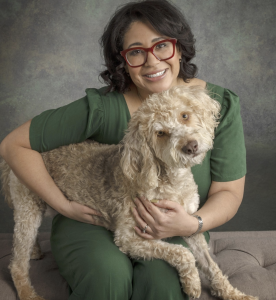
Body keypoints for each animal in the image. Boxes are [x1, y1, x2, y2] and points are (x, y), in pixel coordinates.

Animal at [1, 85, 258, 300]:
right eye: (160, 133)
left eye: (185, 115)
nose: (191, 146)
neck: (170, 181)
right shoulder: (129, 237)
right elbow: (182, 253)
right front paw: (193, 282)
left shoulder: (189, 225)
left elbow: (212, 266)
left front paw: (233, 294)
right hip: (28, 206)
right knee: (16, 263)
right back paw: (28, 293)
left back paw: (35, 250)